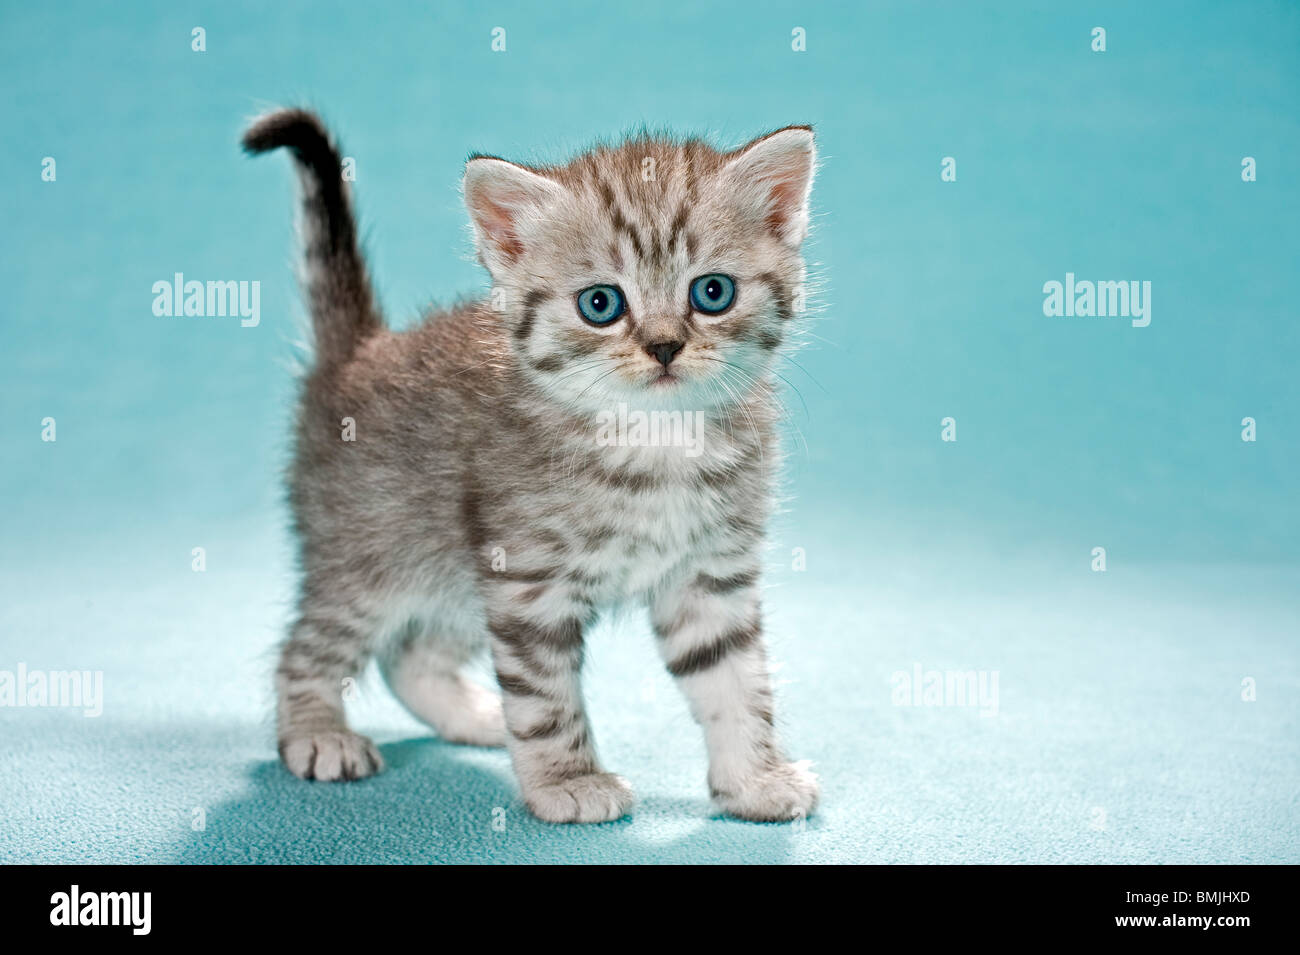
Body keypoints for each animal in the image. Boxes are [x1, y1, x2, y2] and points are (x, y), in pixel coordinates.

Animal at [241, 108, 821, 826]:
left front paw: (754, 779)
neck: (658, 446)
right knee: (309, 647)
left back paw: (474, 715)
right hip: (371, 560)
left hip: (454, 577)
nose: (663, 346)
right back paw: (318, 732)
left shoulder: (710, 576)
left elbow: (737, 680)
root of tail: (360, 351)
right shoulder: (527, 584)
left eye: (712, 292)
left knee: (409, 653)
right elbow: (546, 699)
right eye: (601, 304)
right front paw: (567, 780)